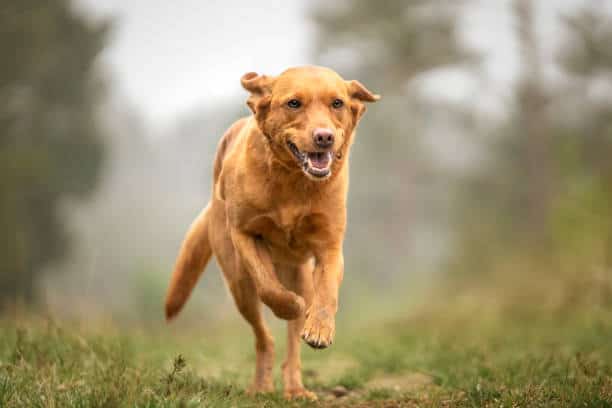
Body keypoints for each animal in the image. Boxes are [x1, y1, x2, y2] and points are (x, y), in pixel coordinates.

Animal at [165, 66, 380, 398]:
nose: (324, 137)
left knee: (292, 345)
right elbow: (268, 286)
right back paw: (262, 385)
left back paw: (295, 389)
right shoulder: (244, 234)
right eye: (293, 103)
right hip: (238, 283)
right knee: (264, 337)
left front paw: (320, 328)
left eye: (337, 103)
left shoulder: (330, 247)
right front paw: (289, 306)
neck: (293, 180)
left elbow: (328, 292)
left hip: (300, 276)